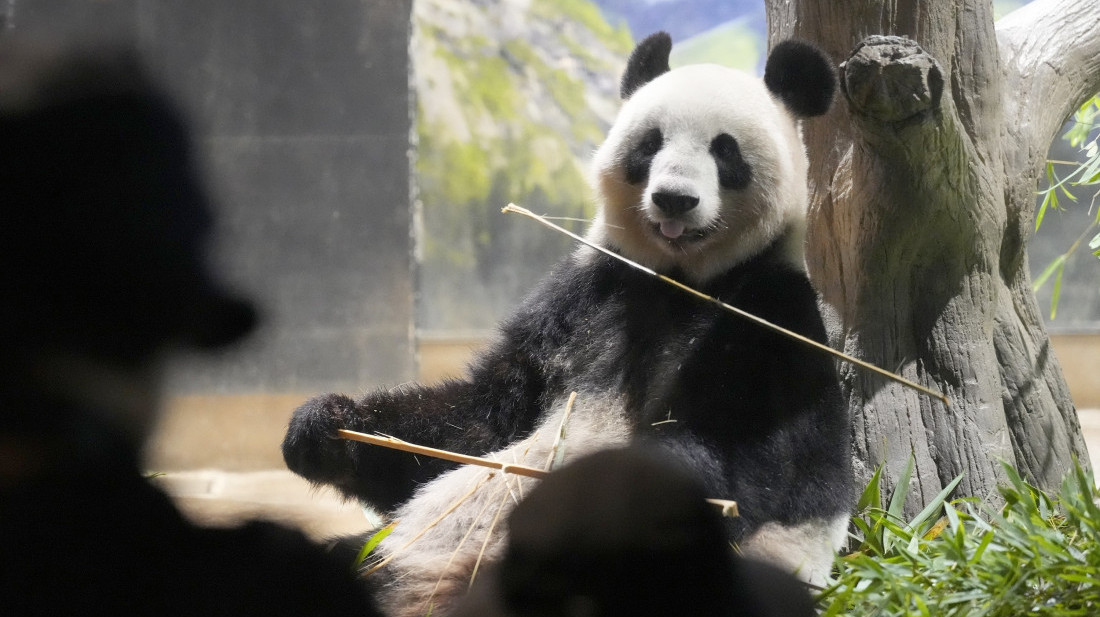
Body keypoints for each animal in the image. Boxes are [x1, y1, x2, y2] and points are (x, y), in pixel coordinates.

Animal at [283, 31, 849, 611]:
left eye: (725, 149)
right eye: (651, 143)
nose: (674, 199)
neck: (681, 279)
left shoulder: (770, 318)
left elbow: (744, 463)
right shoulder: (585, 296)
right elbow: (478, 424)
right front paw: (327, 426)